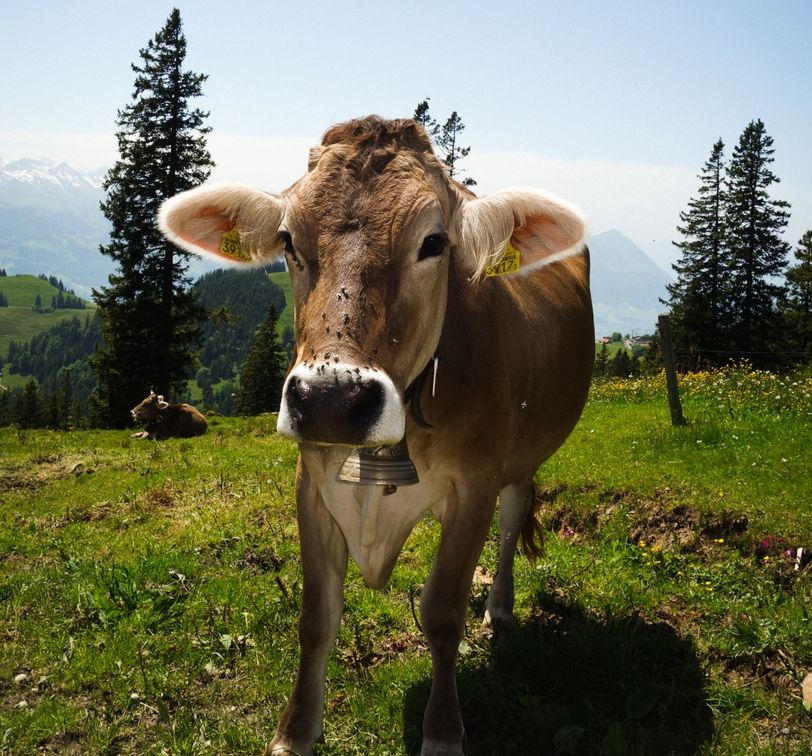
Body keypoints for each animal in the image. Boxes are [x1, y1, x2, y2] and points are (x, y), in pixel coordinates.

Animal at [158, 116, 593, 756]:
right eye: (288, 241)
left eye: (434, 243)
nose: (331, 400)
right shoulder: (311, 482)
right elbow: (316, 616)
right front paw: (294, 732)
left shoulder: (475, 485)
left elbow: (442, 613)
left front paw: (442, 732)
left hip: (522, 460)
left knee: (514, 520)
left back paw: (501, 608)